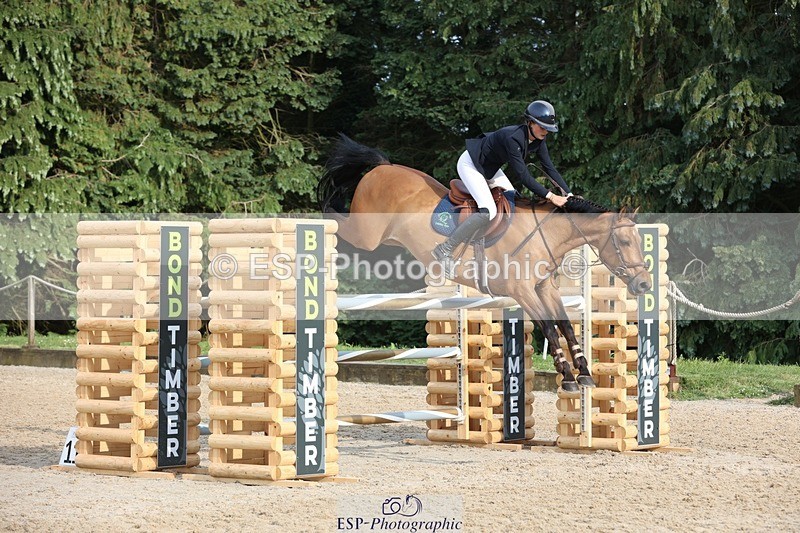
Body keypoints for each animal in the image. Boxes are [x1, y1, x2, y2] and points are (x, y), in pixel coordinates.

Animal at [317, 134, 652, 391]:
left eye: (638, 241)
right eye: (624, 243)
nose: (644, 284)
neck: (545, 233)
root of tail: (382, 168)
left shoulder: (545, 287)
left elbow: (567, 326)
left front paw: (585, 373)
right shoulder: (522, 292)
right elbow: (549, 327)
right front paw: (569, 377)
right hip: (366, 235)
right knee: (336, 215)